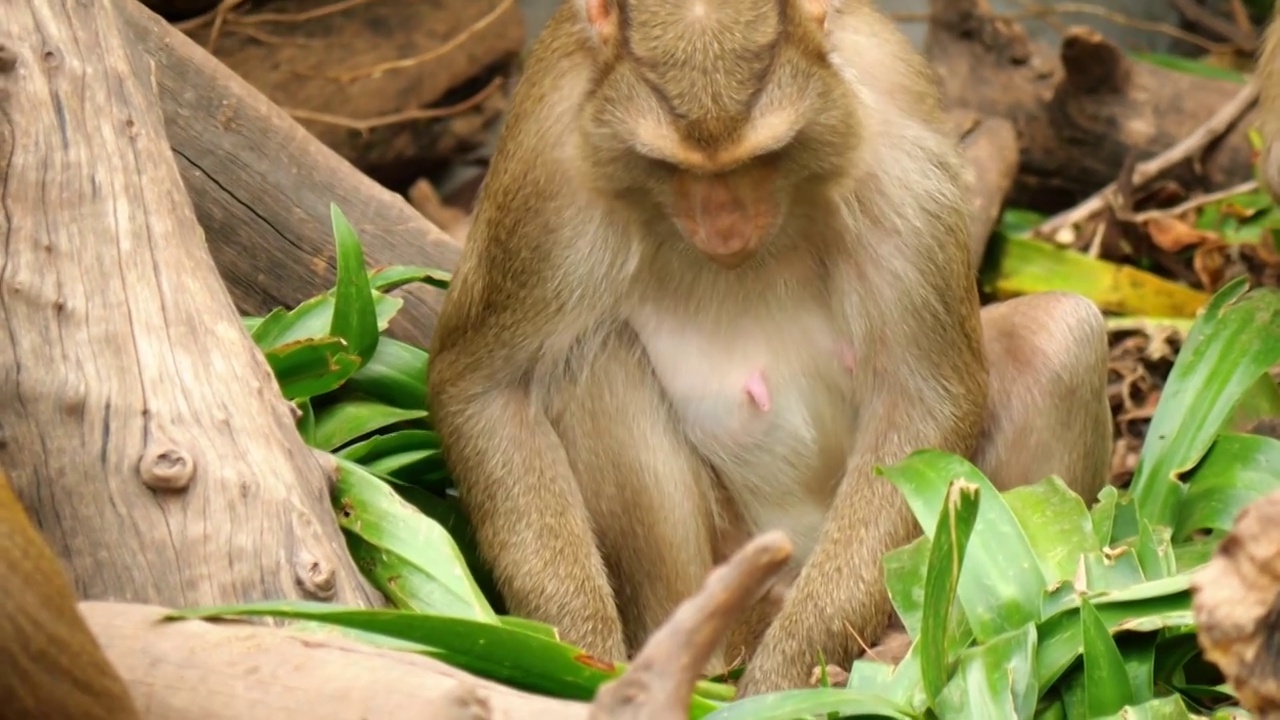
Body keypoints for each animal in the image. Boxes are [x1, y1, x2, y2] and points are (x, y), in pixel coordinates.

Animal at [427, 0, 1111, 691]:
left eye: (766, 153)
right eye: (669, 164)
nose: (725, 227)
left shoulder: (896, 141)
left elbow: (924, 397)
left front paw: (779, 685)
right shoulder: (549, 158)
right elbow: (485, 387)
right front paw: (578, 661)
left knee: (1062, 336)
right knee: (594, 361)